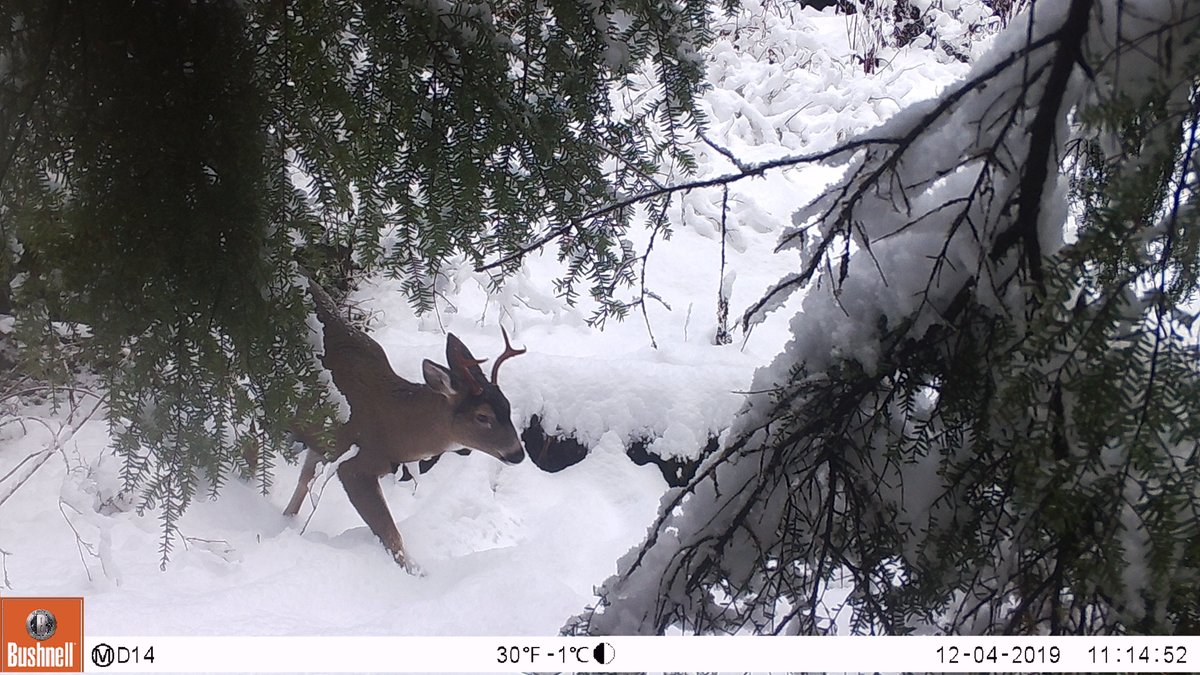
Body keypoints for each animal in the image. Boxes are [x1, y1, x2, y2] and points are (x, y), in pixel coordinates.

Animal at [284, 274, 526, 573]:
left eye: (508, 407)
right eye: (482, 416)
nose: (517, 453)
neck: (394, 428)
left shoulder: (324, 443)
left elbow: (302, 484)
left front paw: (285, 523)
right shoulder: (354, 463)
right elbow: (390, 533)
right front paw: (416, 573)